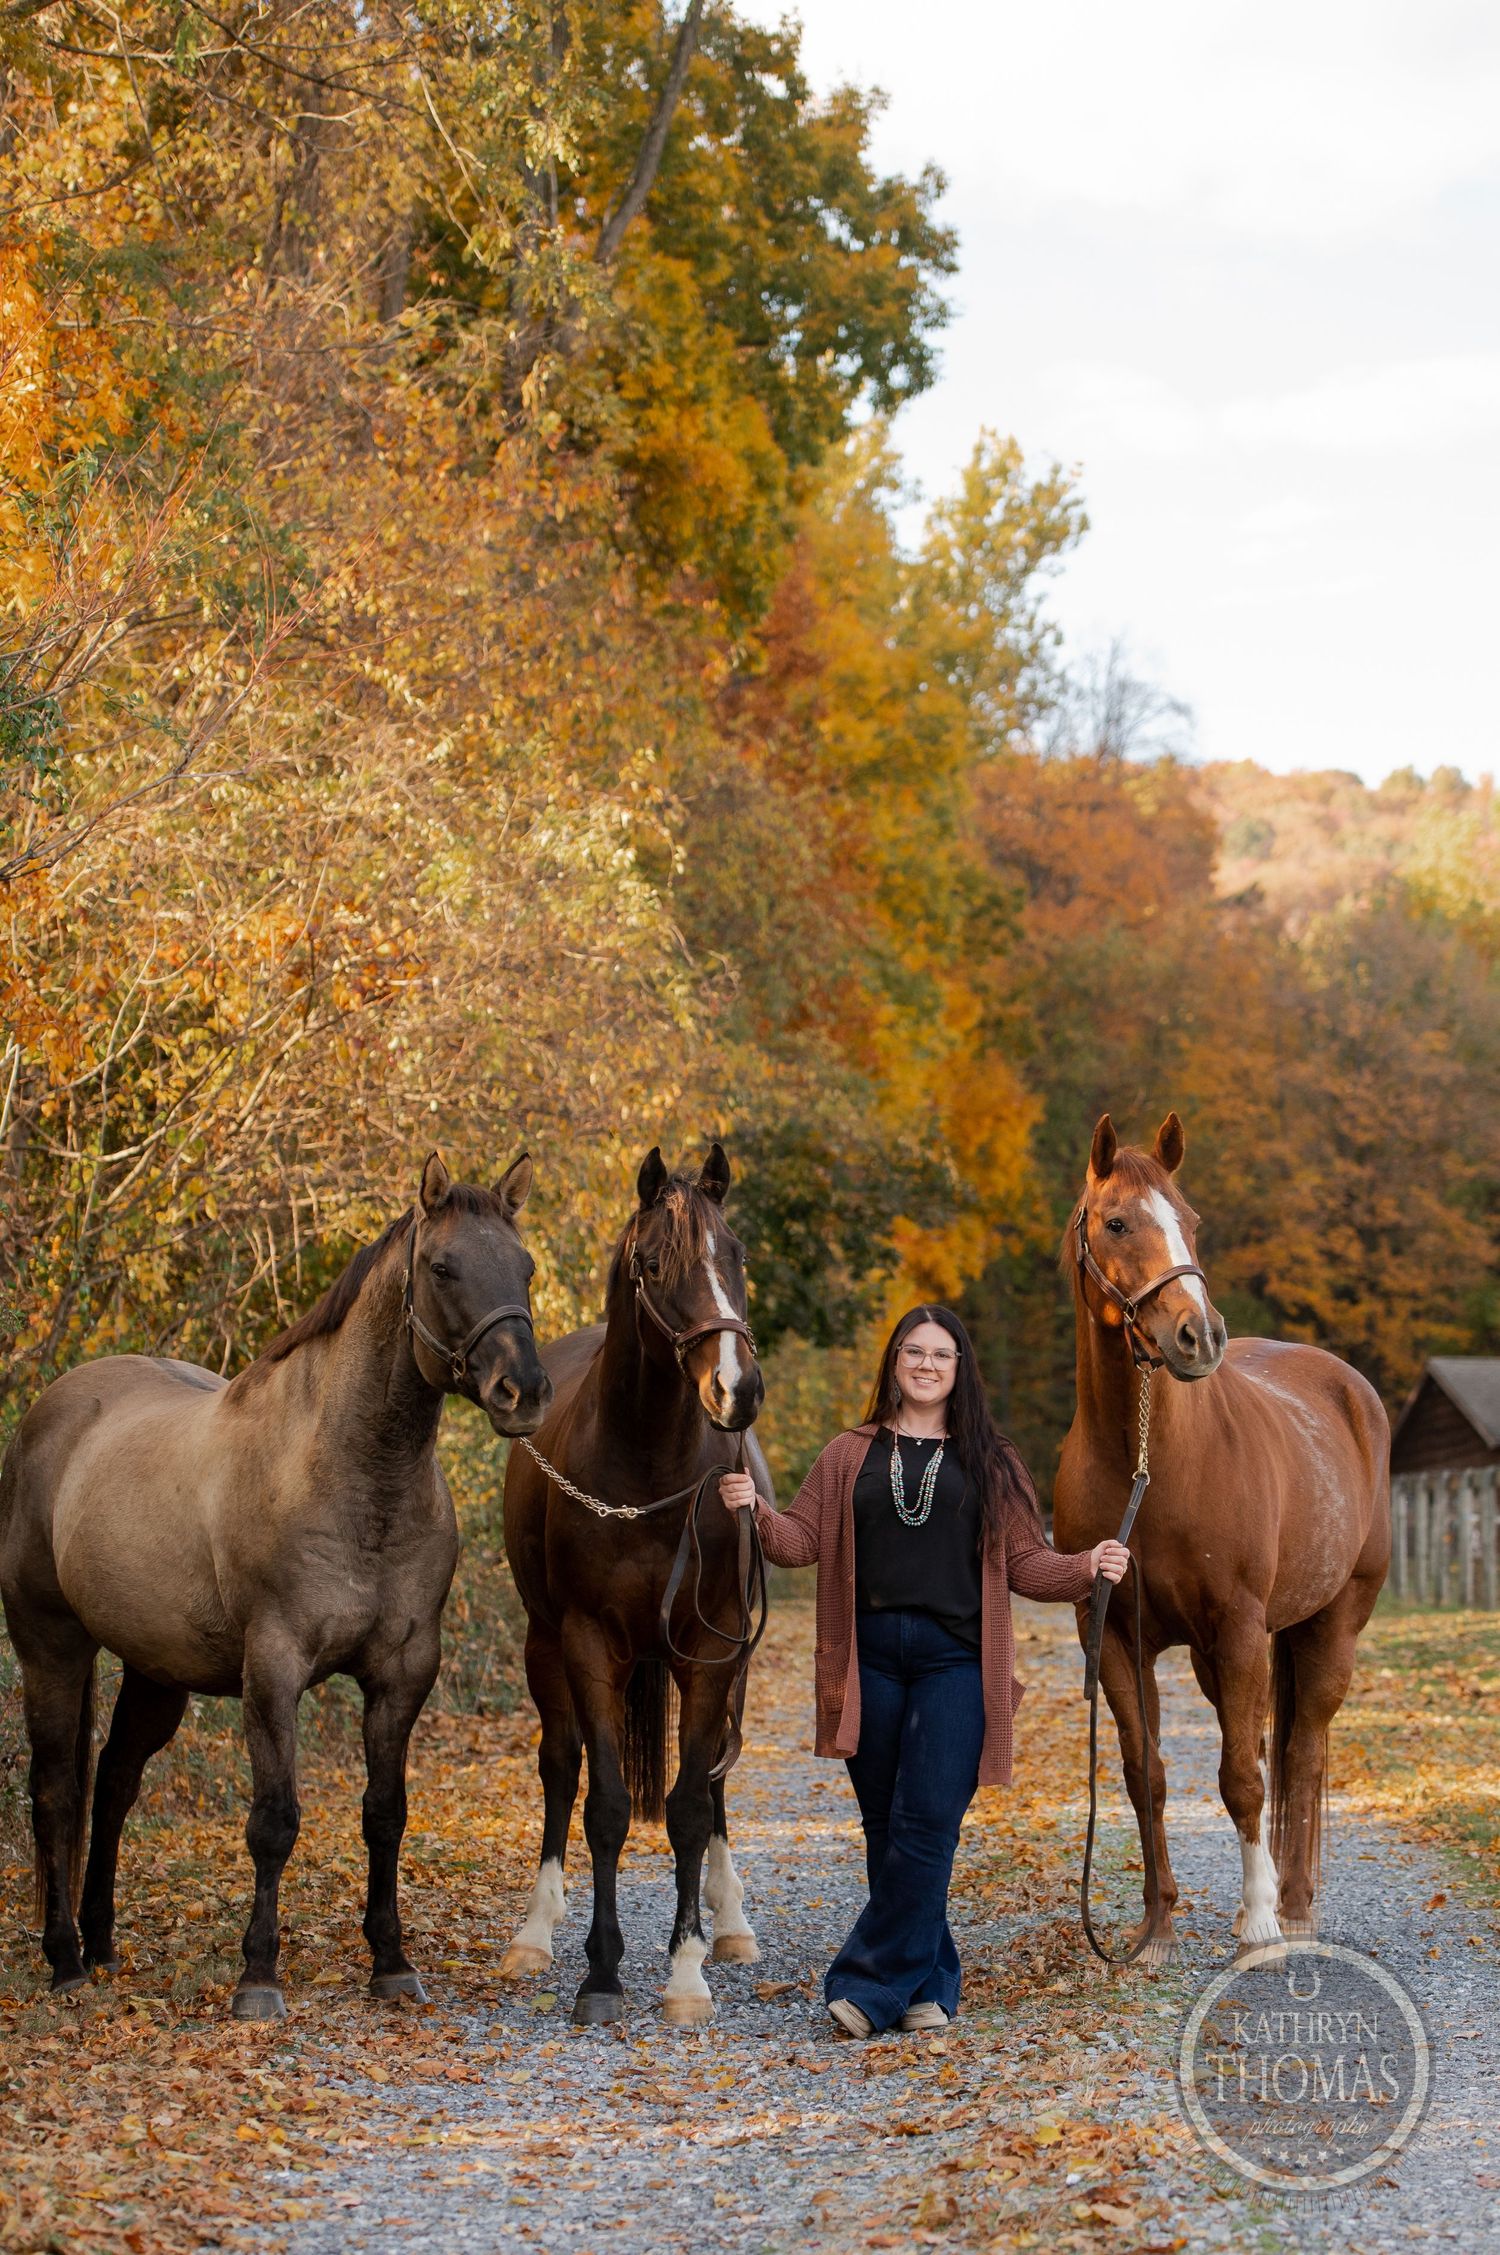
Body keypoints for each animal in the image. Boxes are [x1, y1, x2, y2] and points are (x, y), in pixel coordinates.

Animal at [0, 1151, 551, 2018]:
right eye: (443, 1266)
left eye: (523, 1266)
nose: (522, 1391)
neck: (350, 1478)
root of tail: (51, 1411)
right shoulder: (273, 1671)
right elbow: (274, 1821)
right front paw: (258, 1975)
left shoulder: (403, 1673)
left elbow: (385, 1814)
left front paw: (391, 1961)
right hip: (50, 1647)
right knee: (57, 1788)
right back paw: (64, 1959)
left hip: (155, 1670)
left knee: (114, 1783)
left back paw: (103, 1941)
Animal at [500, 1142, 769, 2027]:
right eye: (653, 1263)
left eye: (736, 1254)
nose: (735, 1390)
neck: (650, 1467)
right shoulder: (587, 1645)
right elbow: (607, 1805)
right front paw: (601, 1969)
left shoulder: (712, 1653)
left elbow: (688, 1805)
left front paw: (686, 1971)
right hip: (542, 1646)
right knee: (560, 1765)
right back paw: (535, 1932)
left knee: (714, 1777)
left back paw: (731, 1921)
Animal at [1053, 1112, 1390, 1967]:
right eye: (1116, 1221)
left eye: (1191, 1220)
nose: (1197, 1336)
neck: (1148, 1462)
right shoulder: (1114, 1635)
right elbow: (1145, 1773)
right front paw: (1157, 1928)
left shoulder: (1239, 1627)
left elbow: (1242, 1775)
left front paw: (1260, 1927)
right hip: (1220, 1655)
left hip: (1332, 1625)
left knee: (1300, 1753)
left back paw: (1293, 1909)